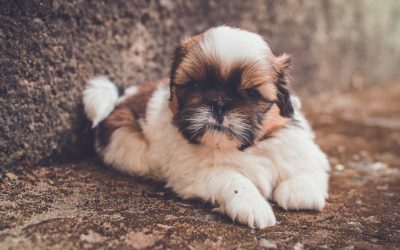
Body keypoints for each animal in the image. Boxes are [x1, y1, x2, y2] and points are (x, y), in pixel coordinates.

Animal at [83, 25, 328, 229]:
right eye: (194, 85)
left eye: (251, 94)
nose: (219, 103)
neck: (245, 149)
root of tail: (122, 98)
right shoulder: (196, 171)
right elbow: (233, 179)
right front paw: (251, 205)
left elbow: (304, 162)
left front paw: (300, 190)